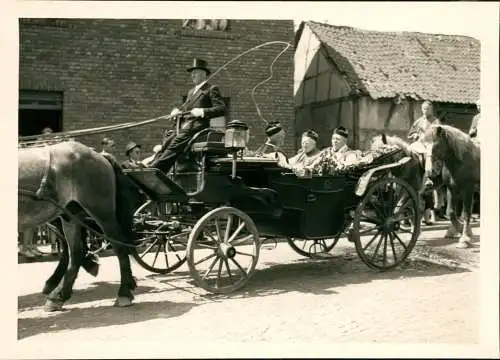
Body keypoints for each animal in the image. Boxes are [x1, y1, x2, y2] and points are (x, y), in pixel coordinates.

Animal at [18, 141, 139, 312]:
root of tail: (99, 155)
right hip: (70, 215)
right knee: (75, 252)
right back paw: (58, 295)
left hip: (102, 214)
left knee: (119, 247)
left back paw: (124, 292)